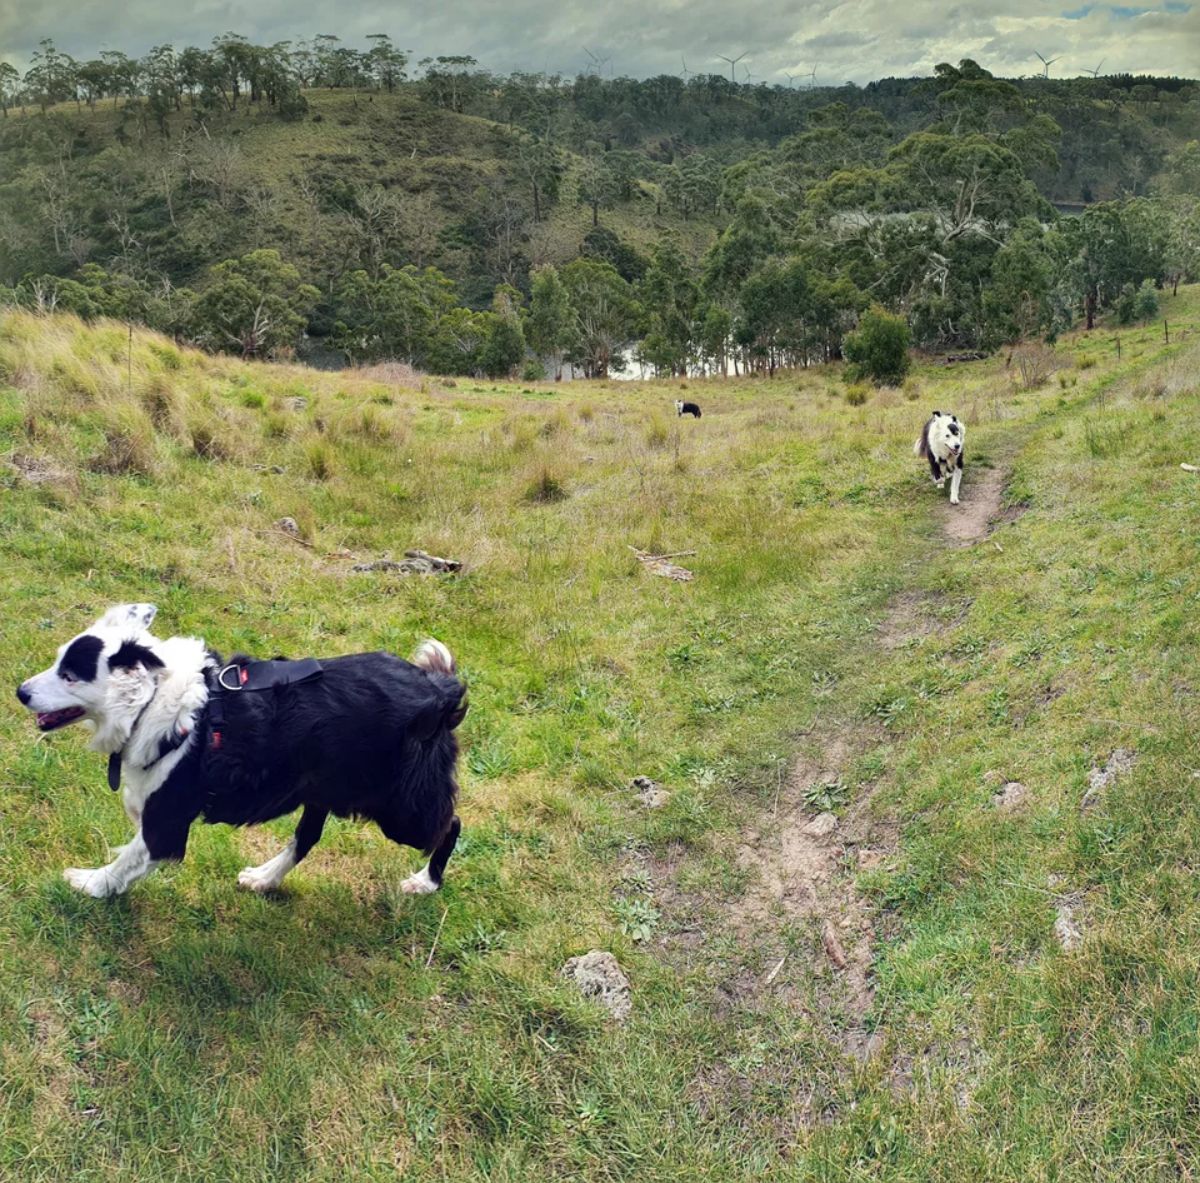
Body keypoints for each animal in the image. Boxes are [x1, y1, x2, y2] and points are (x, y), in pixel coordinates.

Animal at [19, 604, 468, 897]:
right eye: (58, 662)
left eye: (70, 675)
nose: (21, 692)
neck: (149, 698)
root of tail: (439, 689)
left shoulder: (166, 822)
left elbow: (127, 859)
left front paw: (89, 883)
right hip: (325, 786)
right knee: (308, 835)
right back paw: (265, 878)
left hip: (403, 812)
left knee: (451, 824)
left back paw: (425, 883)